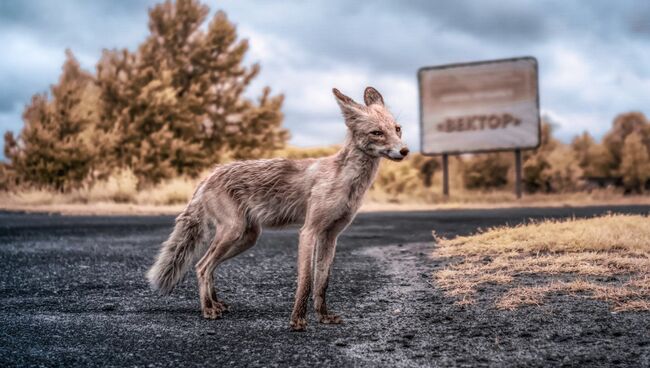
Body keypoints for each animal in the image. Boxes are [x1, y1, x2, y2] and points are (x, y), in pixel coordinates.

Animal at [148, 85, 404, 330]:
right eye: (377, 133)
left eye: (397, 129)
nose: (404, 151)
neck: (346, 182)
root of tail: (210, 175)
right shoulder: (309, 231)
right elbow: (306, 281)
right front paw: (297, 321)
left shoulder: (330, 235)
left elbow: (322, 283)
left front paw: (323, 316)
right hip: (233, 232)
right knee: (201, 266)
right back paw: (208, 309)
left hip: (247, 237)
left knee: (209, 268)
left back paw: (216, 303)